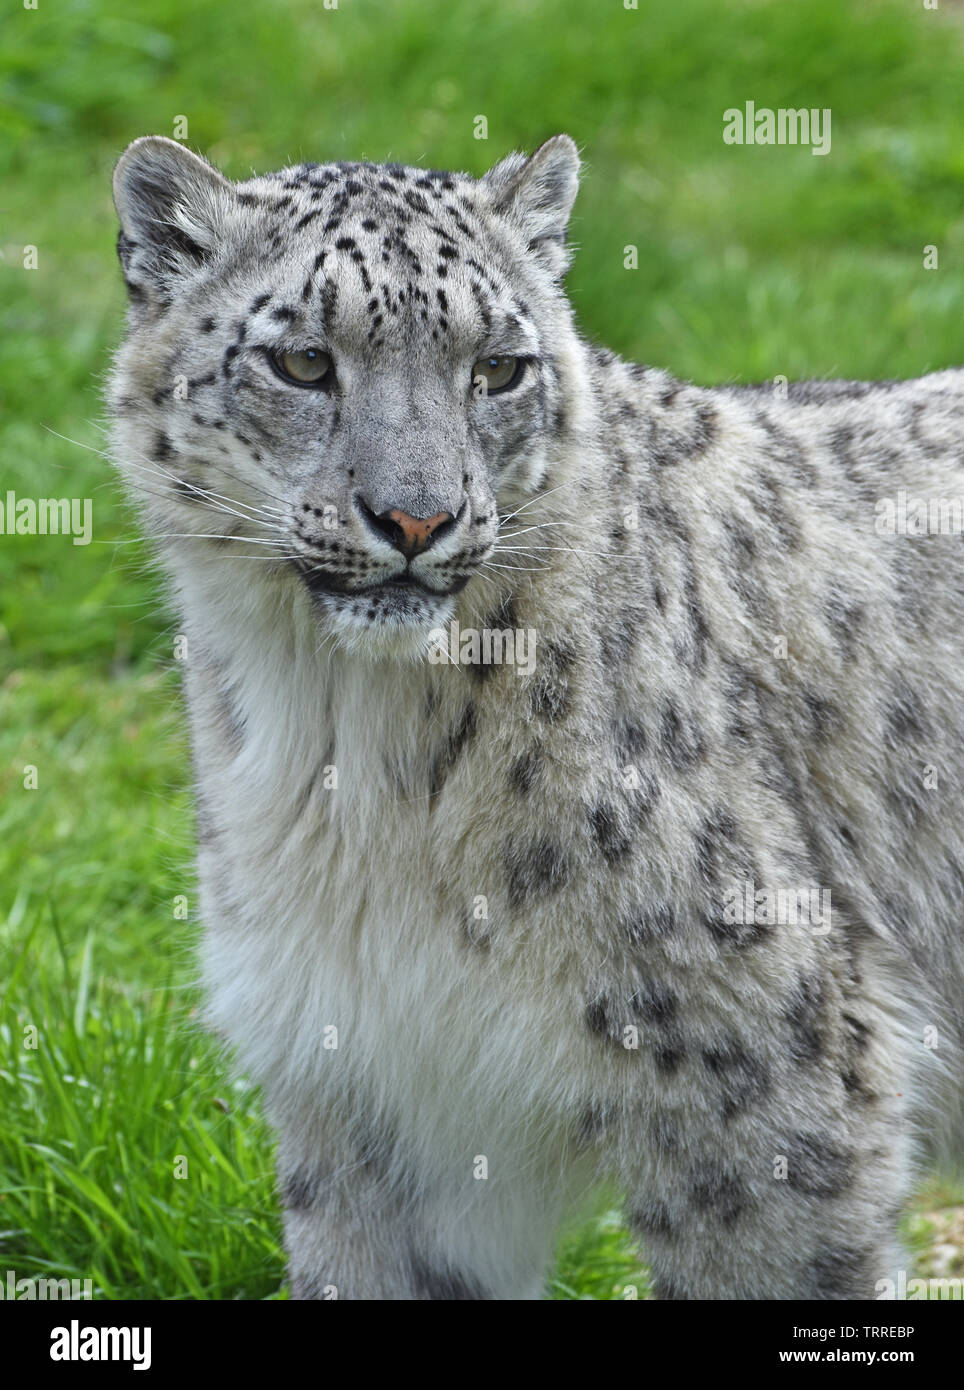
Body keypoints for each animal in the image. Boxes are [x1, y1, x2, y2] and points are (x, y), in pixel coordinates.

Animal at [107, 132, 964, 1300]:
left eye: (498, 368)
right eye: (303, 364)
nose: (416, 517)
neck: (348, 750)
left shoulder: (757, 1079)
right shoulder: (368, 1087)